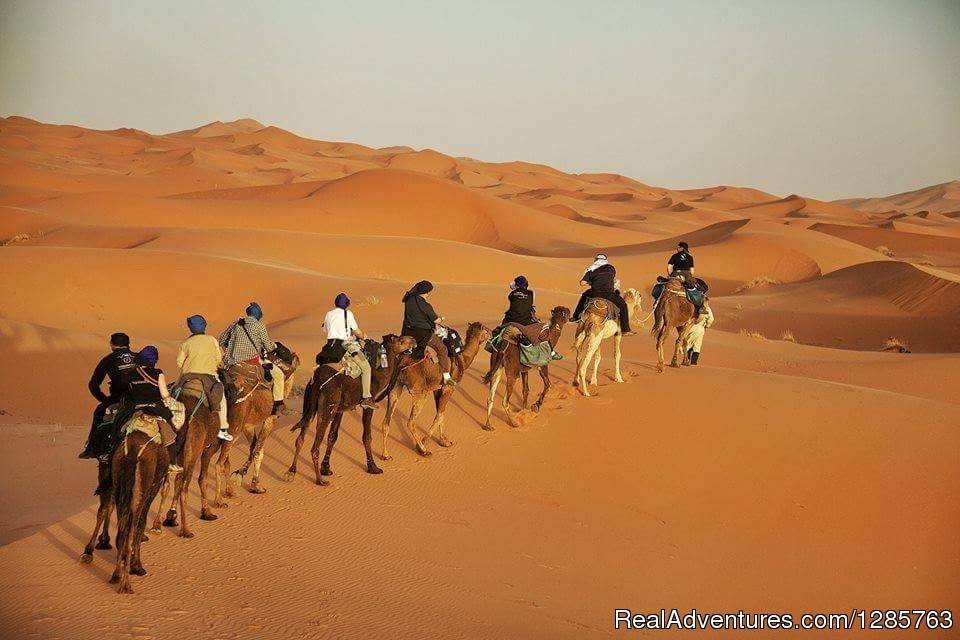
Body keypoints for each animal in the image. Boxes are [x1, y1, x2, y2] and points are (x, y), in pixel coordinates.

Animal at [149, 378, 220, 536]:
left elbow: (176, 482)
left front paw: (170, 517)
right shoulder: (209, 448)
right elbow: (203, 478)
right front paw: (207, 513)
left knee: (166, 486)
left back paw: (156, 526)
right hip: (193, 453)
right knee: (184, 489)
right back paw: (186, 530)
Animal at [205, 344, 300, 504]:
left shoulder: (248, 426)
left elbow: (254, 448)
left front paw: (245, 479)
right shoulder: (270, 419)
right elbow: (258, 451)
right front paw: (250, 482)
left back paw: (228, 492)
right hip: (233, 429)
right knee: (218, 462)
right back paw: (218, 501)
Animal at [284, 336, 414, 484]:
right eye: (400, 340)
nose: (413, 340)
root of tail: (316, 380)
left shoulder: (340, 410)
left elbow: (332, 436)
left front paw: (326, 469)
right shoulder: (368, 405)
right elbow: (367, 436)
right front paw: (373, 468)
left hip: (310, 406)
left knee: (300, 438)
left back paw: (291, 471)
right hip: (327, 407)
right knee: (314, 446)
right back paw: (320, 481)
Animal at [378, 322, 492, 458]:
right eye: (486, 331)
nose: (492, 333)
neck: (463, 359)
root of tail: (401, 361)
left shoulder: (437, 389)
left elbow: (441, 413)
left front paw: (444, 441)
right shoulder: (449, 388)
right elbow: (439, 414)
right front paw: (423, 443)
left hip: (396, 387)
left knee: (386, 420)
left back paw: (385, 454)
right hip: (420, 392)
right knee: (411, 422)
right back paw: (424, 450)